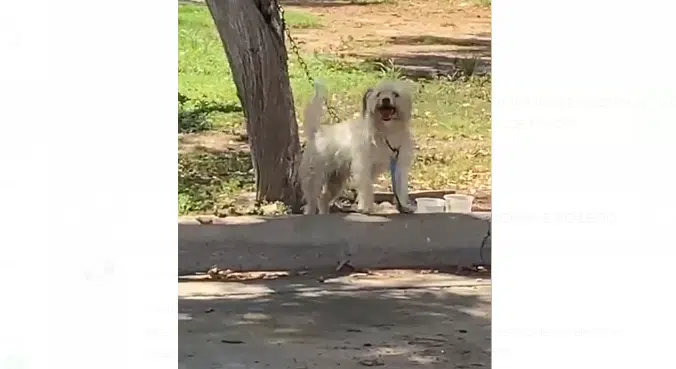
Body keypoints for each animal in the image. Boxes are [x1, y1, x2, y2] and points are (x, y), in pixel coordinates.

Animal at [298, 79, 414, 214]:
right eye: (378, 94)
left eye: (395, 94)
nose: (385, 99)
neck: (386, 131)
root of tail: (316, 133)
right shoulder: (363, 166)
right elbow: (366, 188)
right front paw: (367, 207)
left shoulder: (399, 165)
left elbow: (400, 187)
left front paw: (404, 206)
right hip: (314, 178)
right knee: (311, 202)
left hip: (336, 180)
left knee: (323, 198)